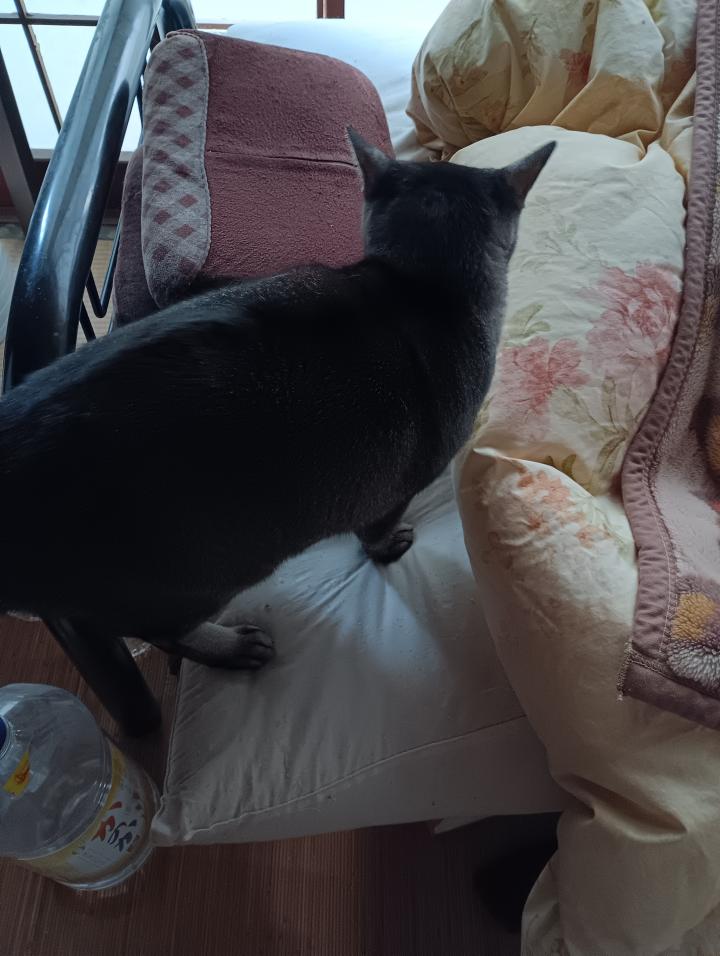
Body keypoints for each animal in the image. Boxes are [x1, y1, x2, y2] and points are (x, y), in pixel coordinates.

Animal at [0, 129, 554, 669]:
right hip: (200, 573)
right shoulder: (399, 486)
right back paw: (230, 648)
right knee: (164, 633)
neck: (419, 287)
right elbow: (376, 533)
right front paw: (387, 546)